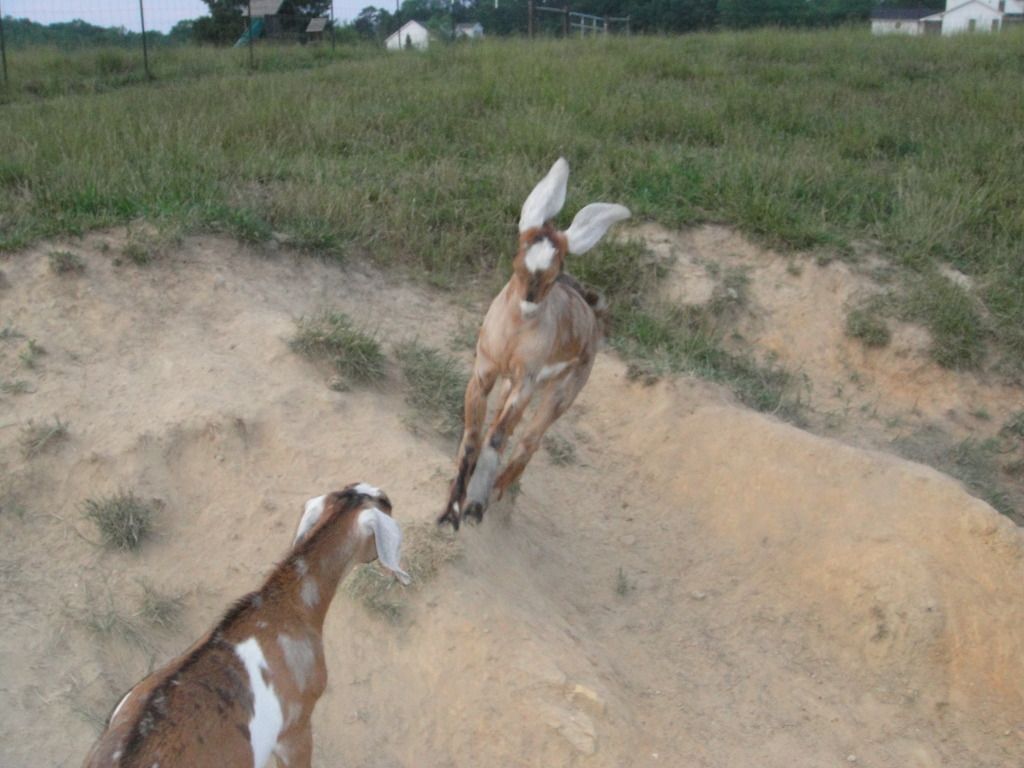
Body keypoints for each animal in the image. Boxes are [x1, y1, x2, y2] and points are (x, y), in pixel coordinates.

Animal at [439, 158, 630, 529]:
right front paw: (451, 509)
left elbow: (497, 438)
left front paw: (474, 507)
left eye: (556, 269)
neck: (514, 333)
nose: (529, 299)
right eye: (519, 256)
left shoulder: (526, 381)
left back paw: (497, 491)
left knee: (529, 441)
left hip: (562, 391)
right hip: (511, 385)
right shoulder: (484, 372)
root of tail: (592, 312)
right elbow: (473, 438)